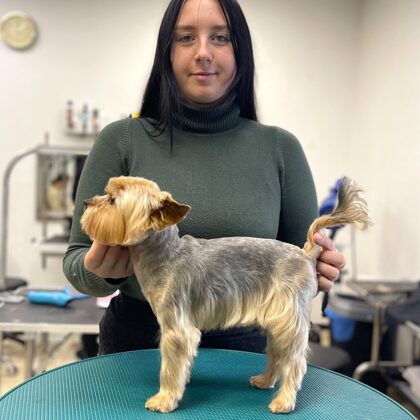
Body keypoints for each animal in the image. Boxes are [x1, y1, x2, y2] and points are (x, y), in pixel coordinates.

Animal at [81, 176, 371, 413]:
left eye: (112, 200)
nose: (85, 202)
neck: (164, 254)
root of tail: (307, 254)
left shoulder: (176, 327)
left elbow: (170, 366)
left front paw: (165, 399)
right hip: (277, 316)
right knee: (277, 353)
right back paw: (264, 380)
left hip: (288, 315)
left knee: (294, 361)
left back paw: (283, 401)